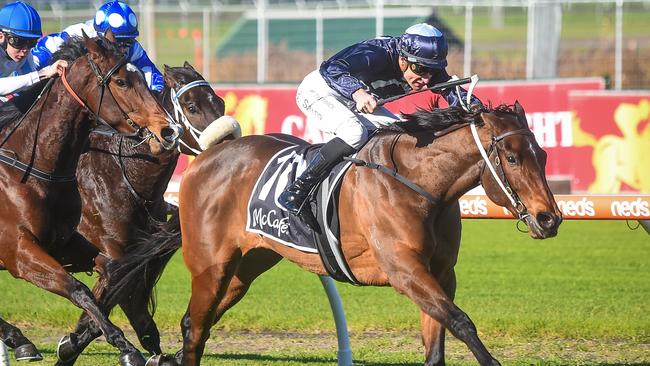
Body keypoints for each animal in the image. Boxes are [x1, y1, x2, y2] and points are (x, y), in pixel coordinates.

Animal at [0, 32, 180, 366]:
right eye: (121, 82)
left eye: (143, 78)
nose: (168, 131)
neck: (36, 167)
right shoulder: (18, 252)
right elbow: (79, 289)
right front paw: (126, 347)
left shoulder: (67, 244)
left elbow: (112, 278)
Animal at [112, 101, 560, 366]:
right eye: (512, 158)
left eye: (542, 154)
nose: (549, 218)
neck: (419, 183)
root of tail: (208, 155)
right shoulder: (404, 270)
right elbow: (461, 321)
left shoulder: (439, 273)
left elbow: (438, 341)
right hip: (210, 264)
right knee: (195, 327)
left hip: (244, 268)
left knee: (197, 322)